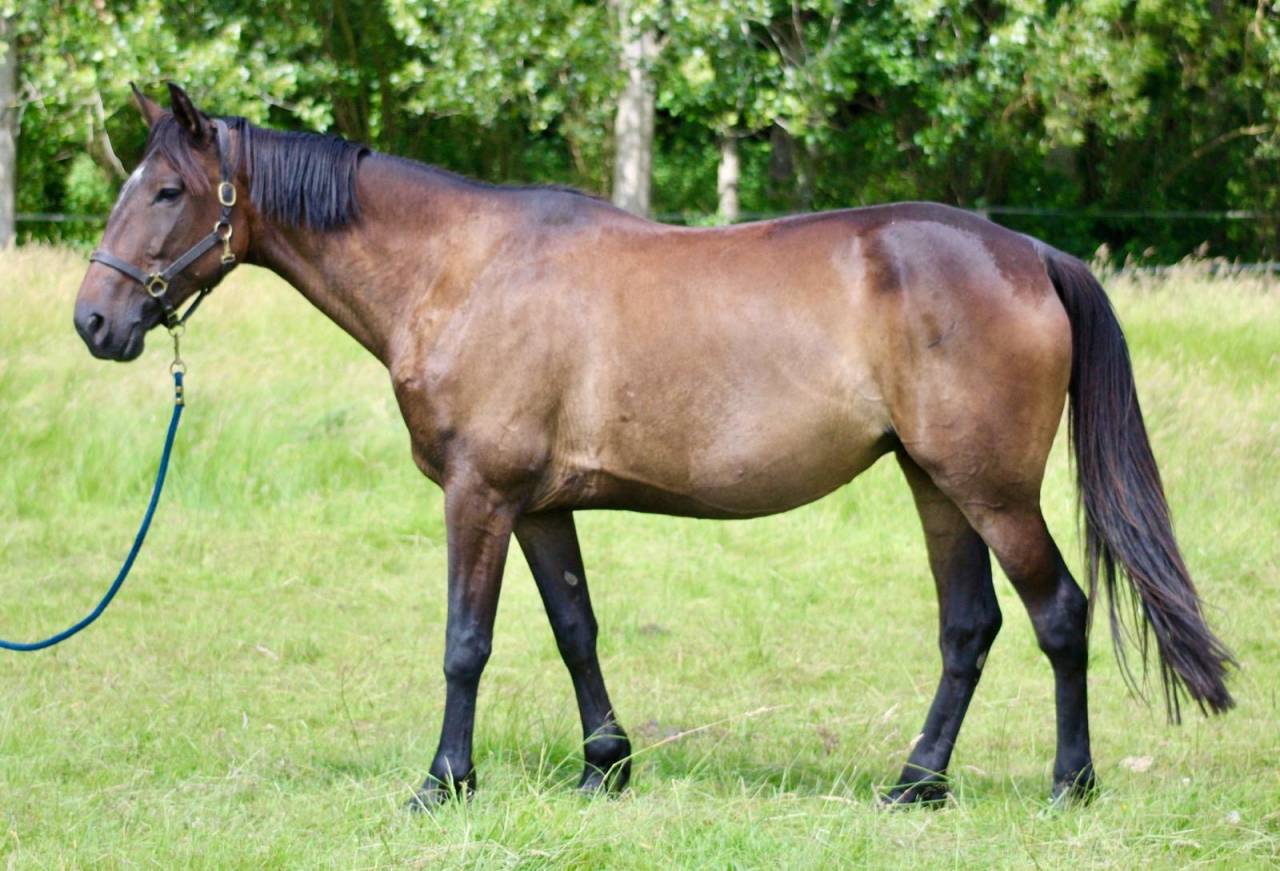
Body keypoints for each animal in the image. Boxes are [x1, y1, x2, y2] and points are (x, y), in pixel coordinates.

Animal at [74, 84, 1233, 809]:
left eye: (167, 191)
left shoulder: (479, 495)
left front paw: (443, 782)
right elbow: (575, 630)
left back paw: (1068, 783)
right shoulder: (541, 504)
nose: (94, 321)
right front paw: (604, 767)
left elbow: (465, 642)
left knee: (1058, 614)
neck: (464, 270)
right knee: (969, 628)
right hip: (935, 485)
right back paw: (915, 784)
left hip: (989, 489)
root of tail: (1027, 251)